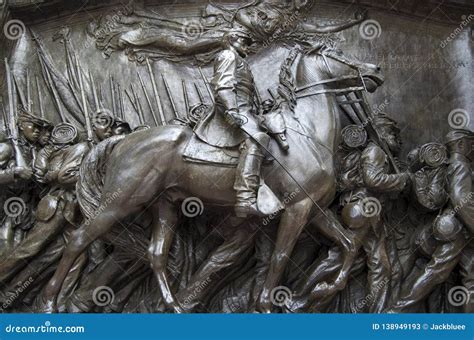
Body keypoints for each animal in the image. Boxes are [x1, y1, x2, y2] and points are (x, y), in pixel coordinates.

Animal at [38, 43, 386, 312]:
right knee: (79, 239)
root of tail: (122, 140)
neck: (307, 132)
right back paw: (49, 302)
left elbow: (348, 245)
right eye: (339, 54)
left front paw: (314, 295)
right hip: (119, 202)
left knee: (156, 254)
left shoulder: (315, 209)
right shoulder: (296, 209)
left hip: (165, 205)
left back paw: (175, 306)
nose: (376, 70)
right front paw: (267, 305)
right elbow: (280, 258)